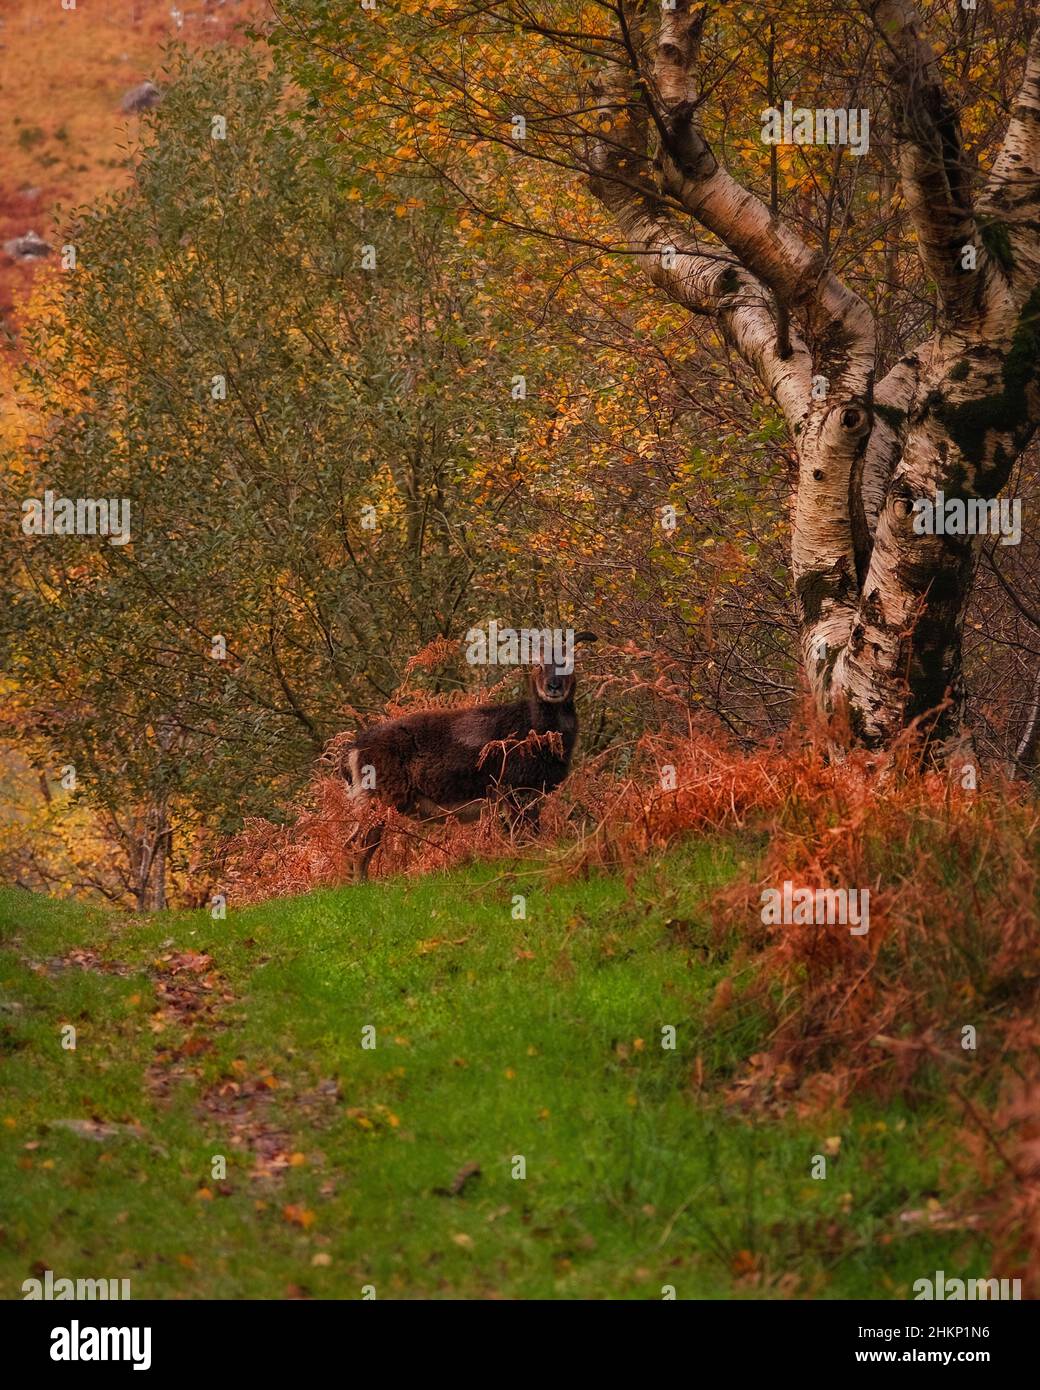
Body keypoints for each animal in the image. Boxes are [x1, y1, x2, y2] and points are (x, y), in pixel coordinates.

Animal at [344, 633, 597, 872]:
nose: (553, 687)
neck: (536, 733)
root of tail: (354, 752)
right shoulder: (514, 787)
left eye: (569, 662)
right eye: (537, 664)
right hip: (379, 797)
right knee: (359, 845)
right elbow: (523, 838)